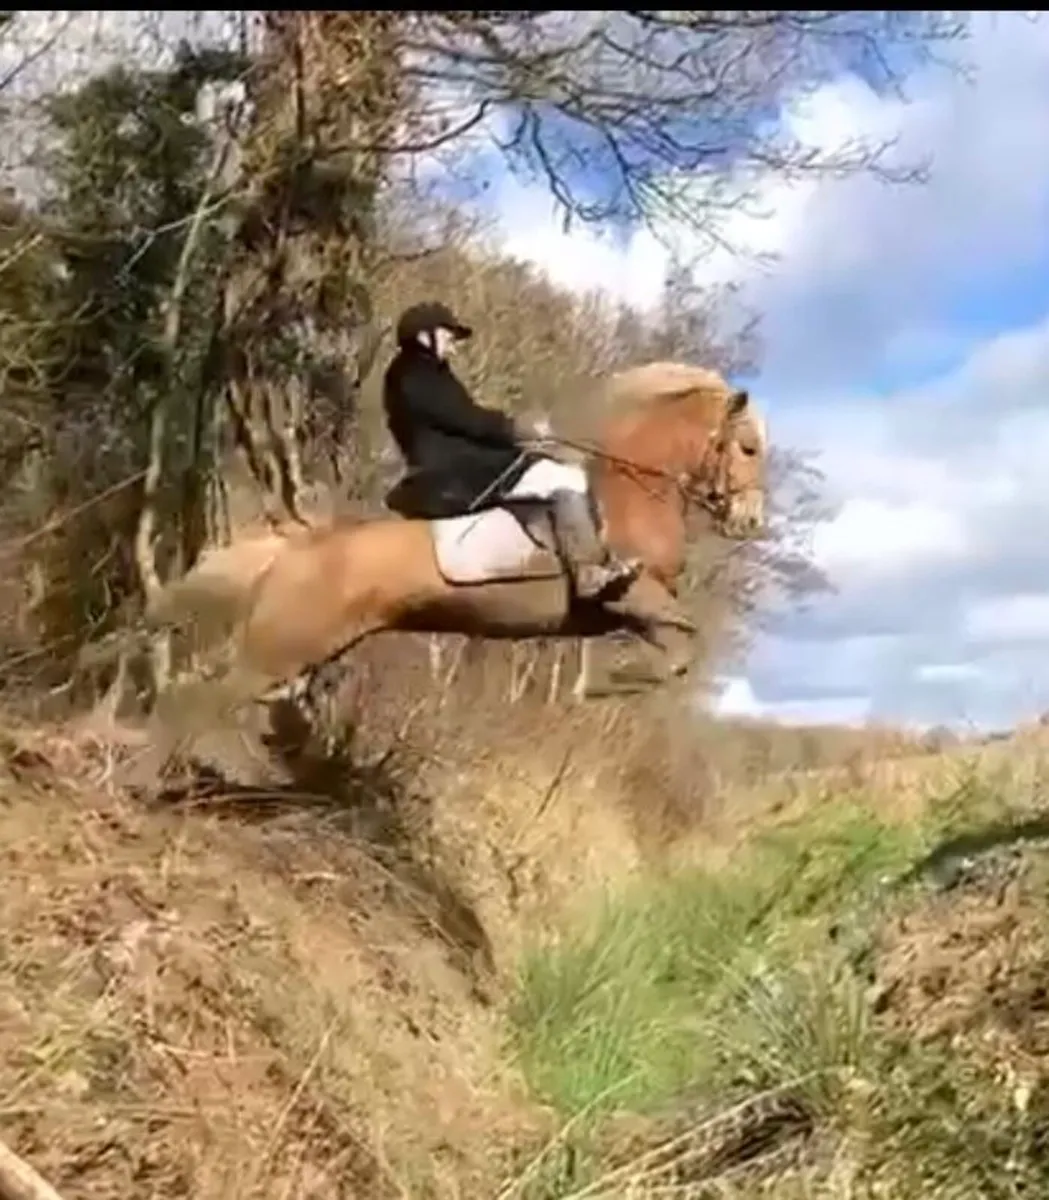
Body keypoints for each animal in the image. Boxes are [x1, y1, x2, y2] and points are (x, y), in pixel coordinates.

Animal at [144, 361, 767, 747]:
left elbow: (681, 648)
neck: (628, 495)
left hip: (298, 645)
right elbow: (682, 648)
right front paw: (613, 682)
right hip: (279, 647)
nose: (750, 521)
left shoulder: (627, 613)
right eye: (747, 447)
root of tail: (302, 544)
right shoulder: (633, 597)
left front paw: (607, 683)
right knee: (192, 701)